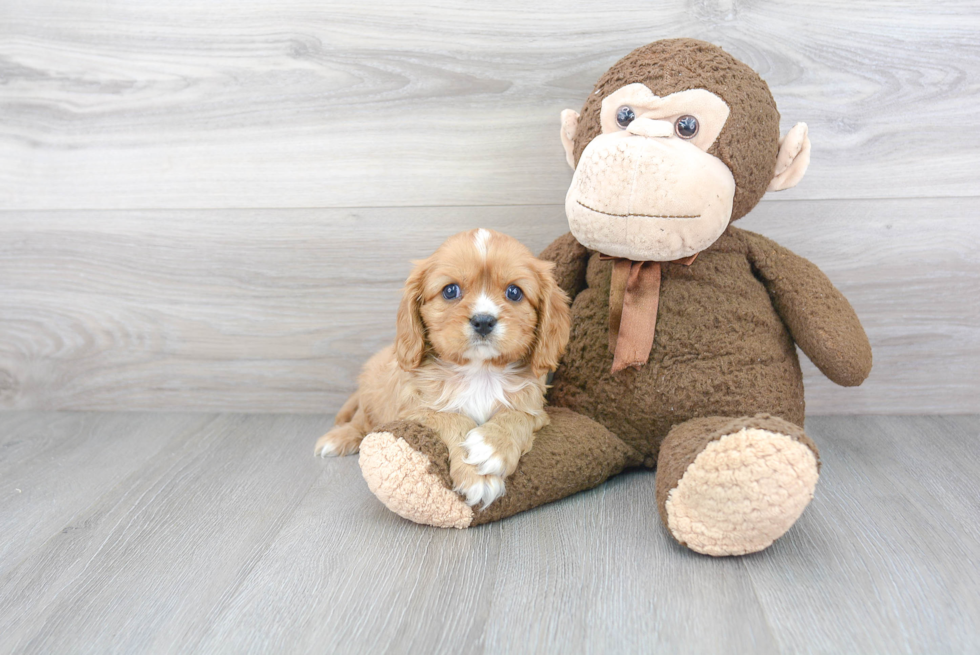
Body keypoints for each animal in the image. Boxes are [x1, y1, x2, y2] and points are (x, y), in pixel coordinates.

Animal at [314, 228, 576, 510]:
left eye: (514, 292)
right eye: (450, 290)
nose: (483, 321)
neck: (480, 372)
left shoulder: (535, 408)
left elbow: (516, 416)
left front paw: (491, 446)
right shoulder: (414, 410)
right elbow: (452, 417)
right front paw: (476, 475)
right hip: (372, 396)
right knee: (362, 421)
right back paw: (339, 437)